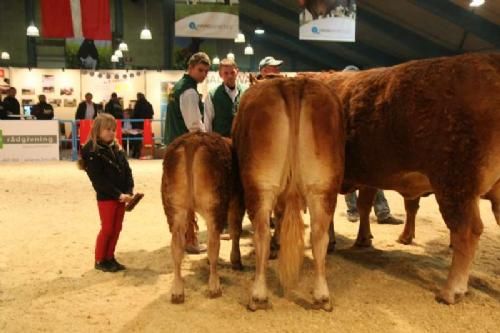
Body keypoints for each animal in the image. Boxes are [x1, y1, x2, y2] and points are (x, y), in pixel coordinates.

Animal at [161, 131, 245, 302]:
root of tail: (192, 139)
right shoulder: (238, 201)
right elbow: (235, 231)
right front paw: (236, 260)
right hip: (214, 205)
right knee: (213, 244)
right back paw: (214, 287)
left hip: (175, 208)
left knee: (177, 247)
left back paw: (177, 291)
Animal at [233, 76, 344, 310]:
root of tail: (293, 84)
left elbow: (278, 216)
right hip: (323, 185)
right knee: (319, 236)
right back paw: (322, 296)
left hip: (260, 184)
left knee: (262, 234)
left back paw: (258, 295)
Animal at [300, 52, 500, 304]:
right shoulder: (367, 177)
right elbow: (363, 206)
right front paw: (362, 239)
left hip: (455, 183)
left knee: (466, 231)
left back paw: (450, 290)